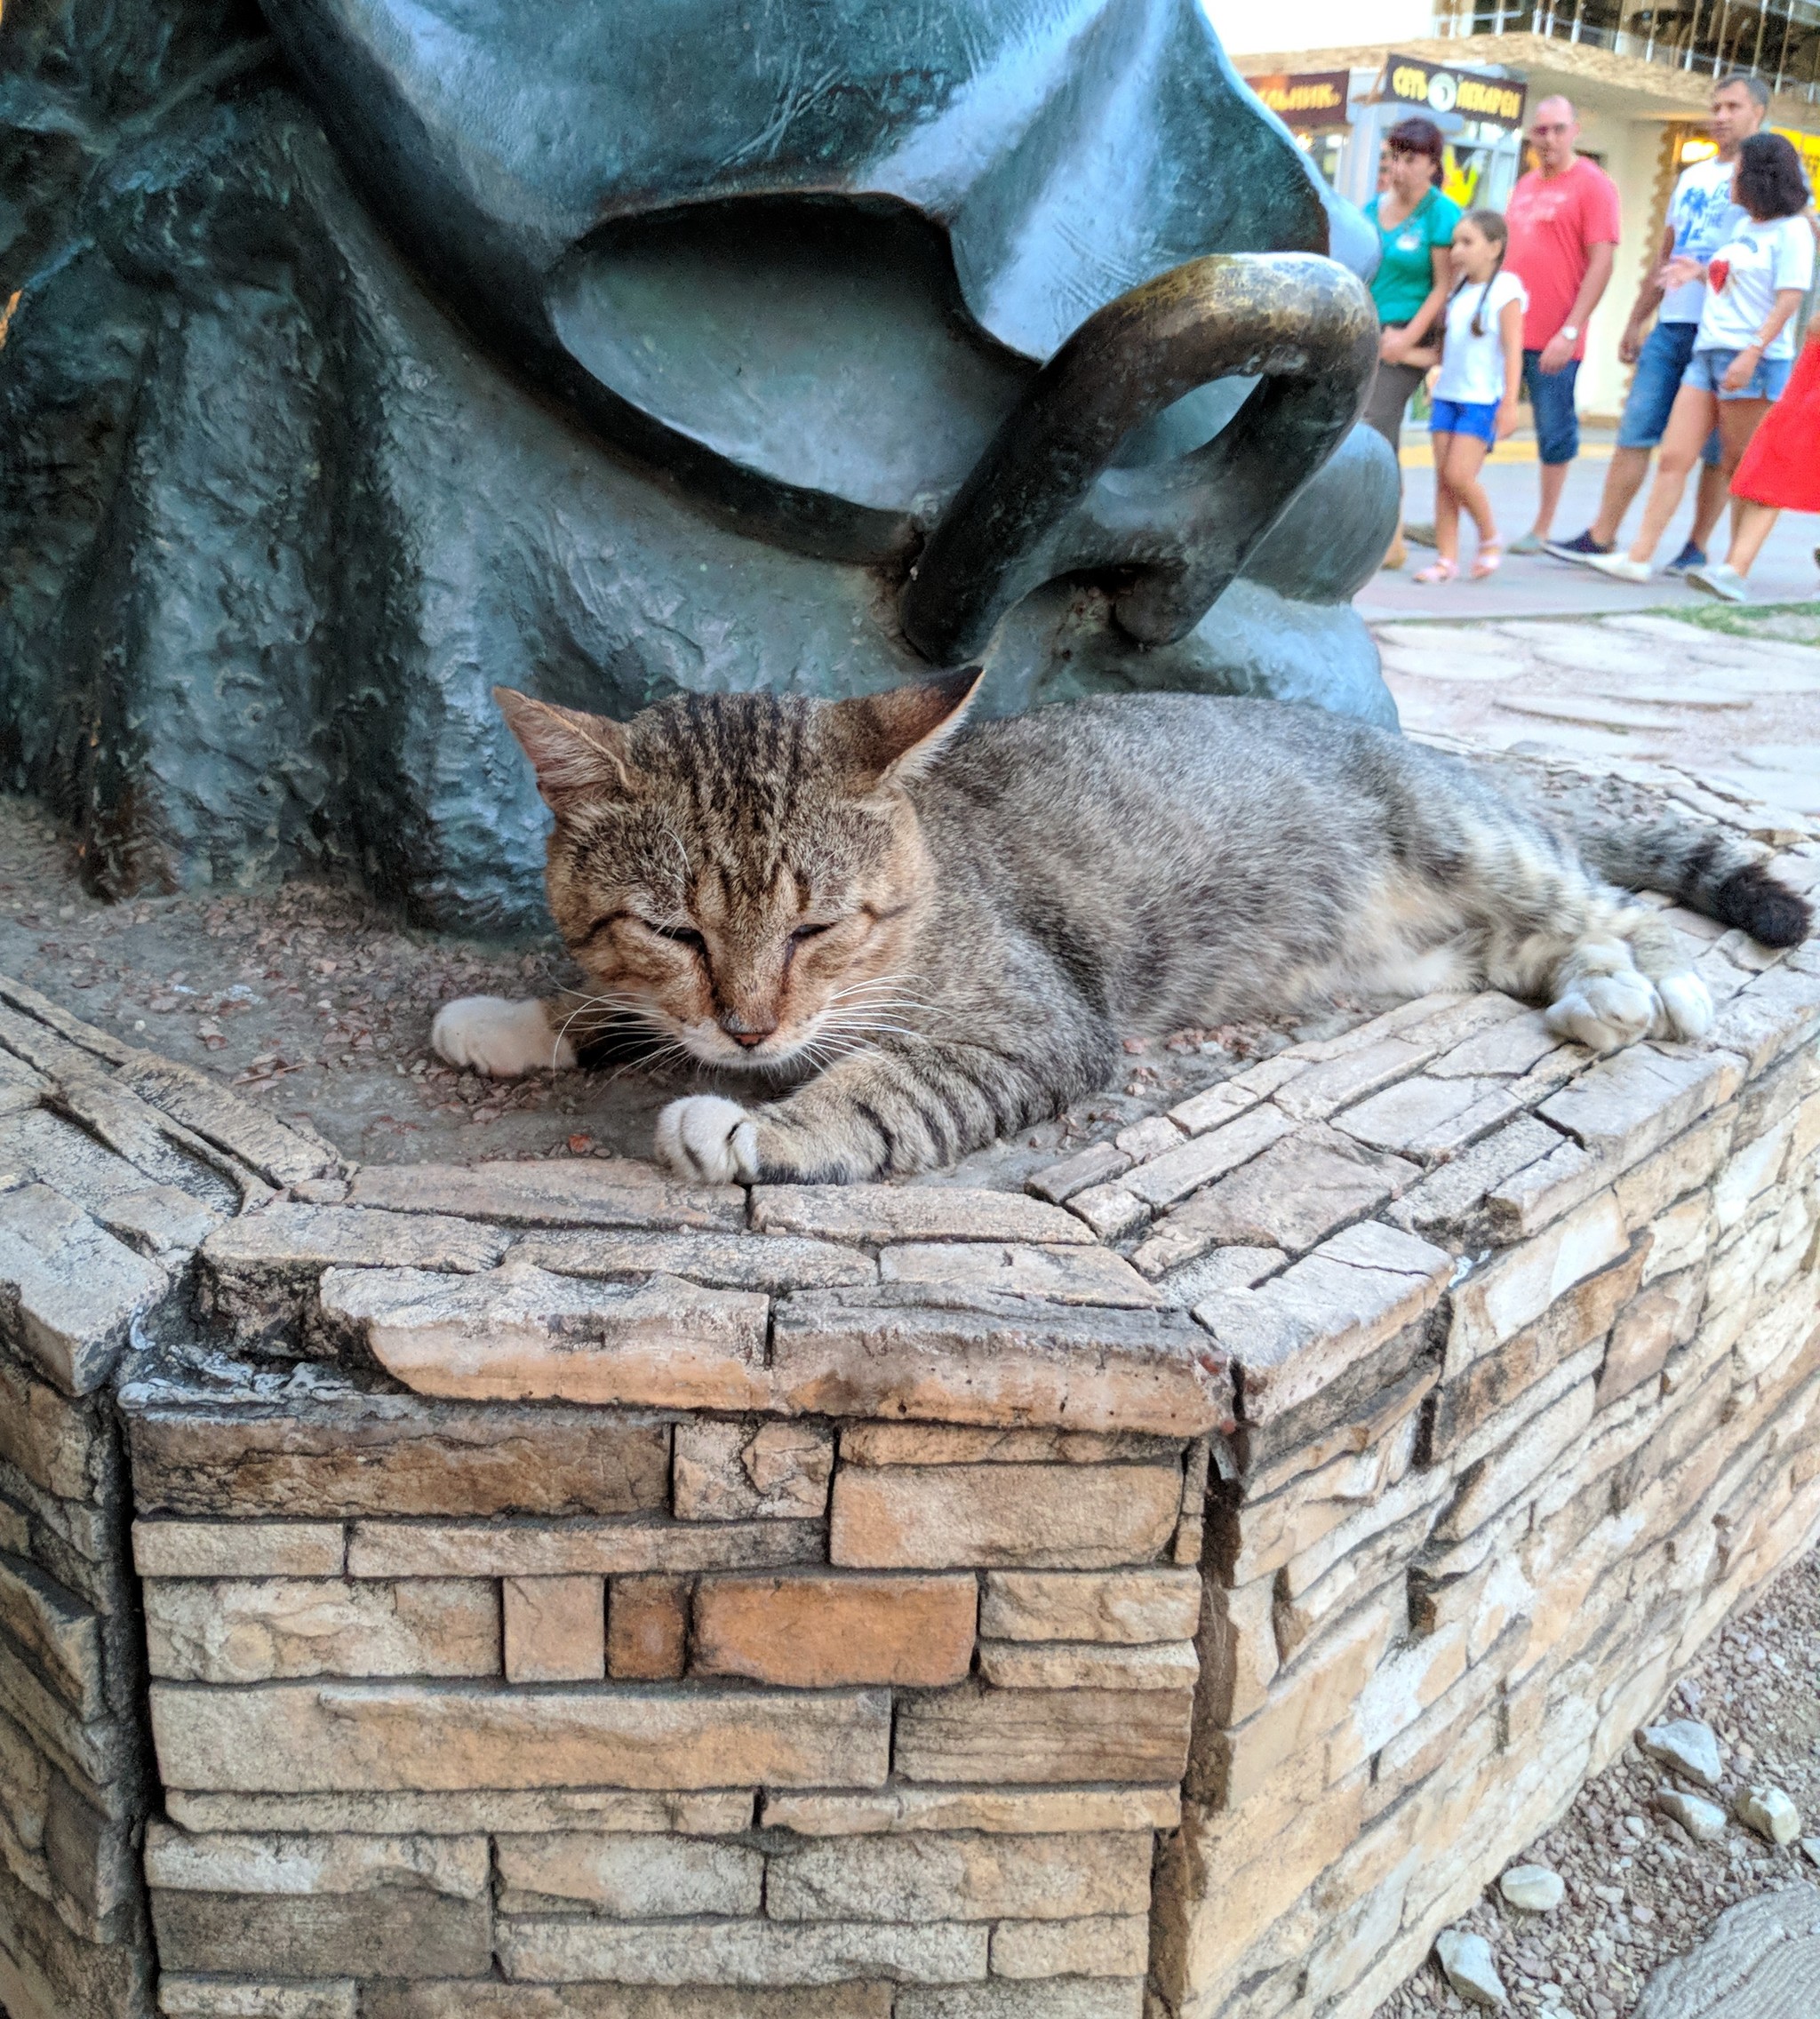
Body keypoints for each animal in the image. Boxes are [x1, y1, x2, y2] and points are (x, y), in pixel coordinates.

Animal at [430, 678, 1801, 1178]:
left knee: (1607, 906)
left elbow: (886, 1087)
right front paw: (527, 1015)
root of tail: (1445, 752)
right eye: (675, 931)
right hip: (1450, 939)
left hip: (1471, 842)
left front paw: (754, 1125)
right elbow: (617, 1002)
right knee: (1537, 947)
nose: (752, 1029)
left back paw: (1648, 987)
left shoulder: (1034, 1027)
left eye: (816, 928)